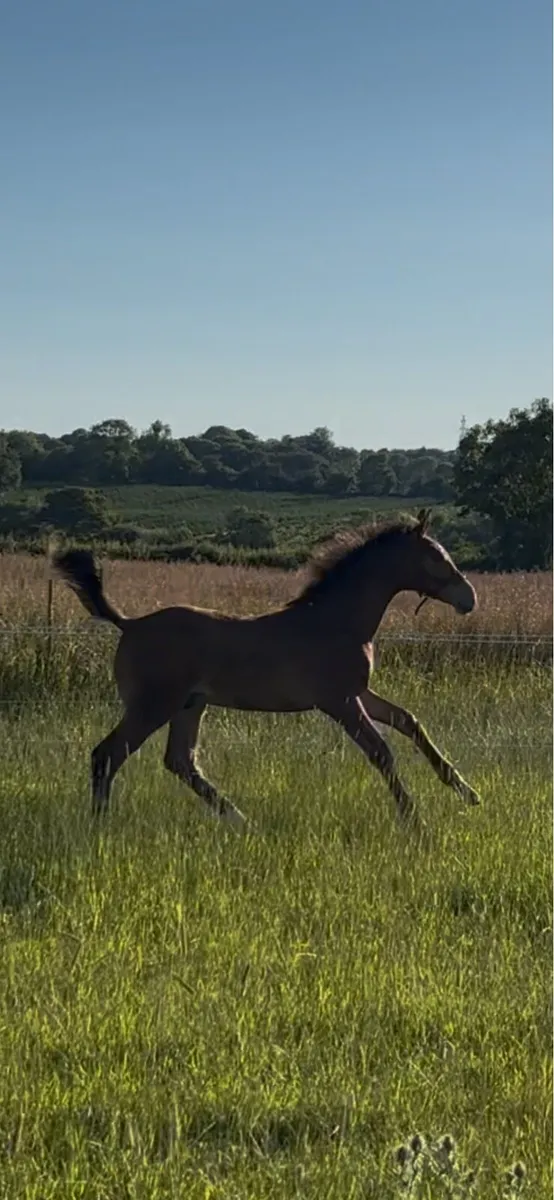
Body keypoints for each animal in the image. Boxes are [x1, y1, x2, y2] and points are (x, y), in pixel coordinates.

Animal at [52, 509, 480, 835]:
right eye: (436, 557)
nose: (469, 598)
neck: (336, 621)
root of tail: (129, 623)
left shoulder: (360, 693)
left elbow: (409, 721)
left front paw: (467, 791)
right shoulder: (339, 701)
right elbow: (382, 752)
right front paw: (416, 822)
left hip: (190, 705)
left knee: (180, 761)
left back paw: (242, 820)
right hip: (153, 705)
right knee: (108, 753)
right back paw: (100, 824)